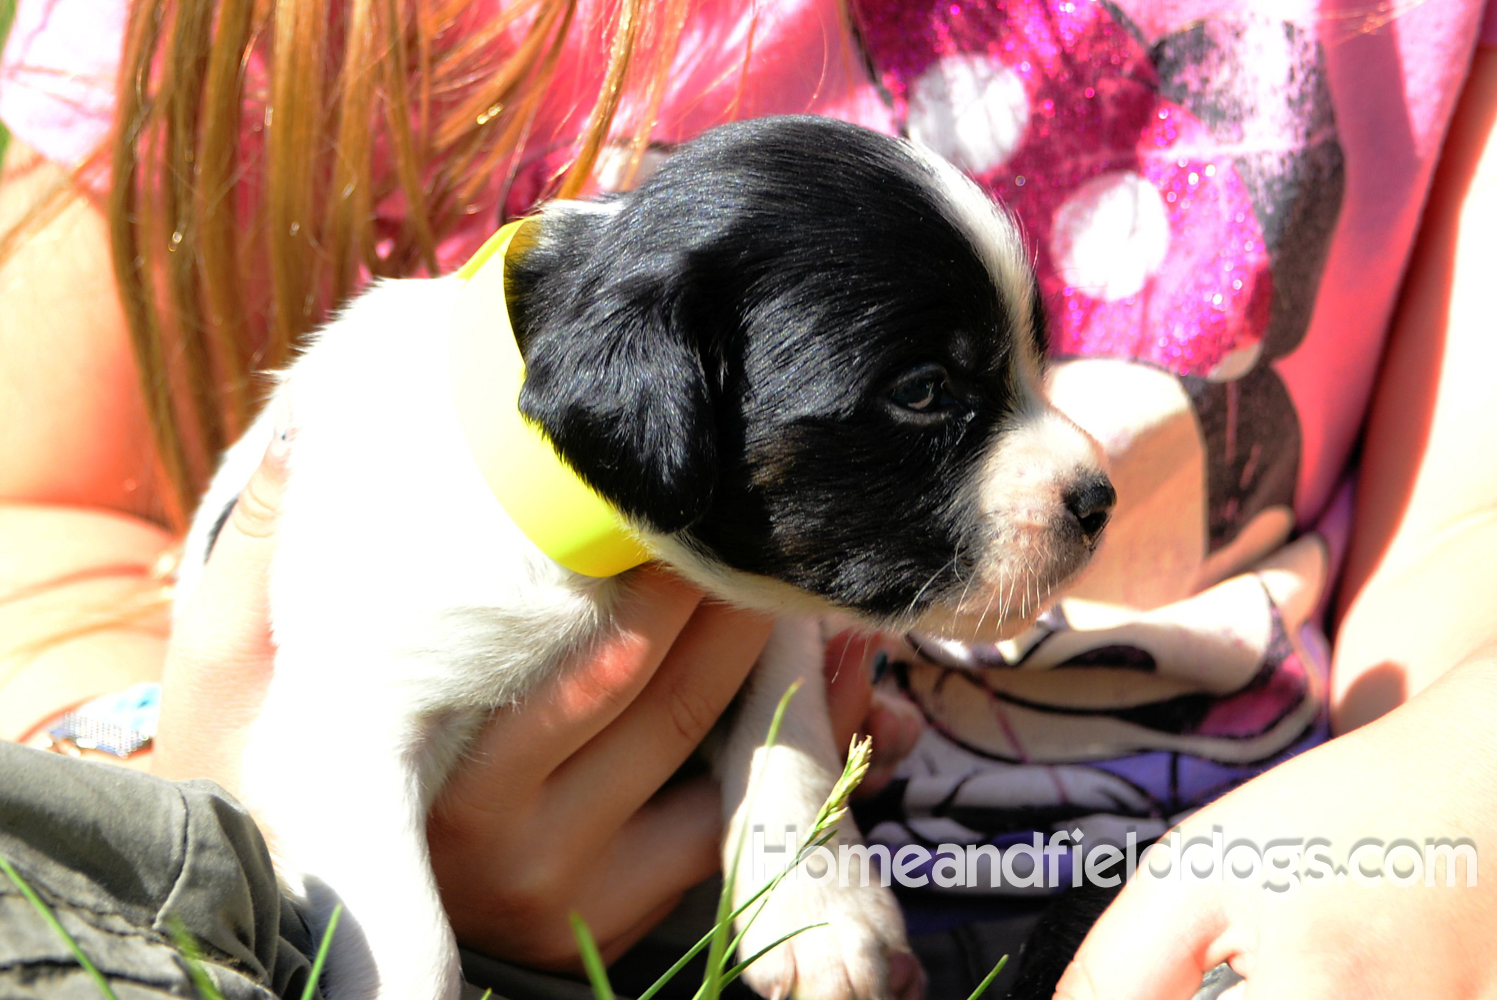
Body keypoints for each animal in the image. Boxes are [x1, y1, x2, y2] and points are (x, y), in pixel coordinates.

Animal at [172, 115, 1113, 999]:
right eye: (923, 390)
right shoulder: (349, 723)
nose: (1099, 500)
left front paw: (819, 911)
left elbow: (788, 745)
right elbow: (411, 940)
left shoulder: (766, 627)